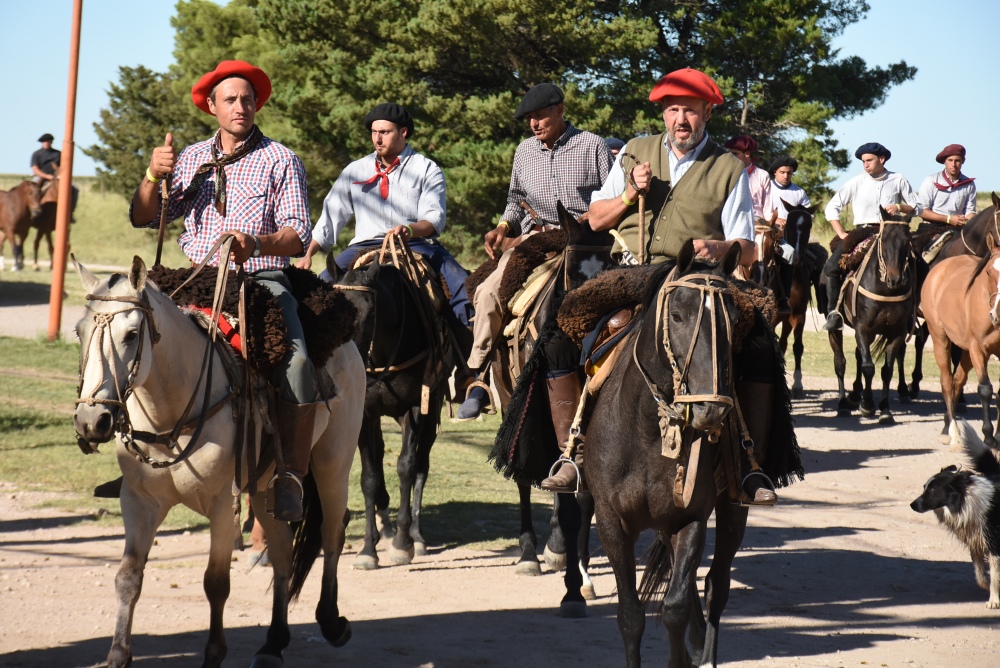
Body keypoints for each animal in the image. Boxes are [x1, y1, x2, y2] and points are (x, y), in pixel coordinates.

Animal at [71, 256, 368, 668]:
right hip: (265, 487)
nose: (91, 420)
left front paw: (214, 654)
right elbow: (128, 577)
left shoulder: (223, 506)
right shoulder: (139, 501)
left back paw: (331, 622)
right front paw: (117, 655)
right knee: (282, 552)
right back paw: (273, 644)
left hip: (333, 461)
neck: (173, 414)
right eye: (78, 332)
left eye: (131, 335)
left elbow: (216, 583)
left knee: (332, 531)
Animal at [584, 241, 752, 668]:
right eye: (677, 315)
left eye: (733, 318)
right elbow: (630, 615)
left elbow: (675, 606)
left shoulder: (691, 518)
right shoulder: (611, 522)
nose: (711, 410)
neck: (646, 432)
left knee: (714, 585)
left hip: (731, 510)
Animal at [828, 210, 916, 422]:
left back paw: (856, 395)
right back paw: (843, 405)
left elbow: (887, 369)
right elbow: (868, 367)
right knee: (840, 362)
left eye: (907, 240)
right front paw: (867, 405)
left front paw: (884, 409)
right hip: (836, 329)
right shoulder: (862, 328)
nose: (894, 279)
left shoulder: (896, 332)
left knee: (859, 356)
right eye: (883, 240)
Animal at [916, 420, 1000, 608]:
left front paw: (994, 601)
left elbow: (995, 576)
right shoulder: (975, 541)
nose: (912, 504)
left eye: (933, 489)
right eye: (925, 487)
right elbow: (980, 574)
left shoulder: (994, 545)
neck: (966, 502)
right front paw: (985, 586)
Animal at [924, 232, 1000, 446]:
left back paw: (946, 424)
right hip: (940, 339)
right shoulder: (978, 348)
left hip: (965, 350)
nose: (997, 312)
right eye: (989, 272)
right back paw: (953, 432)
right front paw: (989, 436)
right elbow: (985, 389)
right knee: (947, 382)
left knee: (958, 380)